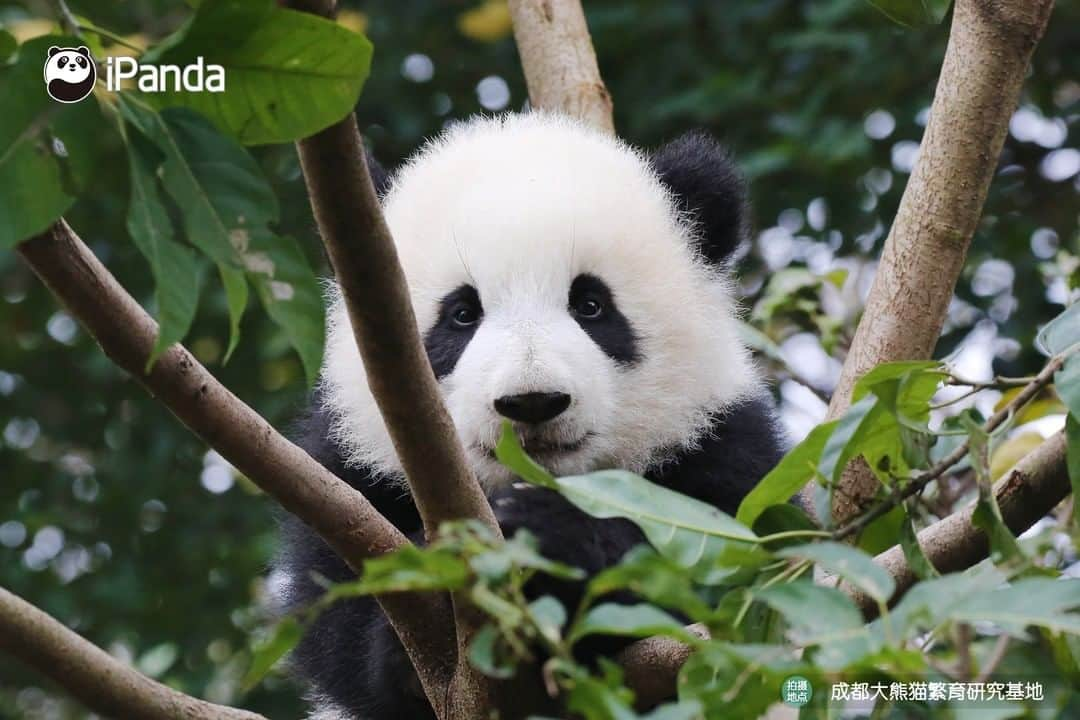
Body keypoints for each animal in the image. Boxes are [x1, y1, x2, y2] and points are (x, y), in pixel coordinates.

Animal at [274, 113, 786, 720]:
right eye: (461, 314)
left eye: (591, 305)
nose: (532, 401)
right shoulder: (348, 476)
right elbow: (333, 625)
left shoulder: (722, 445)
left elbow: (739, 586)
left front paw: (546, 532)